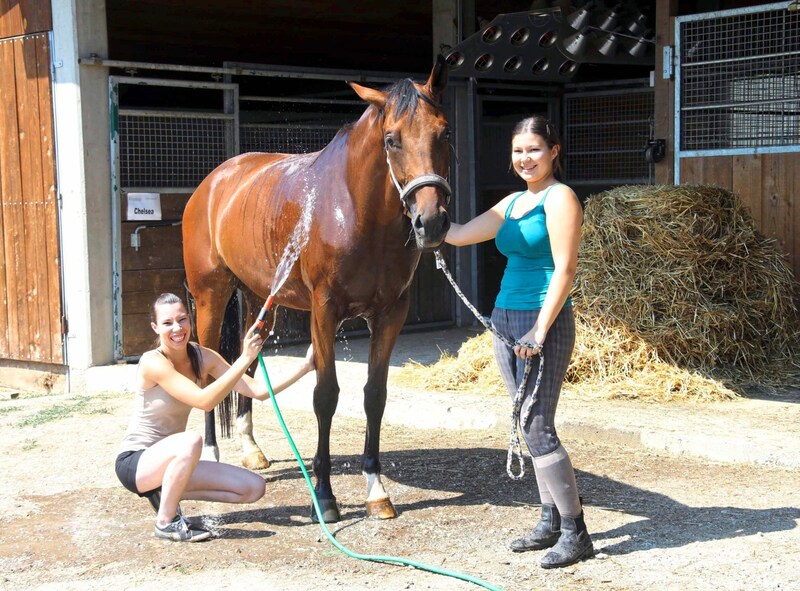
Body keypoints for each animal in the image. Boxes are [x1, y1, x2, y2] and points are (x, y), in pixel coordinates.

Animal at [184, 59, 454, 524]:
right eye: (391, 139)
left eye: (445, 132)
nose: (431, 221)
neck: (355, 210)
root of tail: (214, 182)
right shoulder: (324, 312)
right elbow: (325, 396)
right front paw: (325, 497)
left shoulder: (390, 314)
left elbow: (375, 396)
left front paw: (376, 490)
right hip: (210, 296)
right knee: (206, 369)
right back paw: (213, 455)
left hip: (258, 299)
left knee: (245, 363)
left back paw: (251, 450)